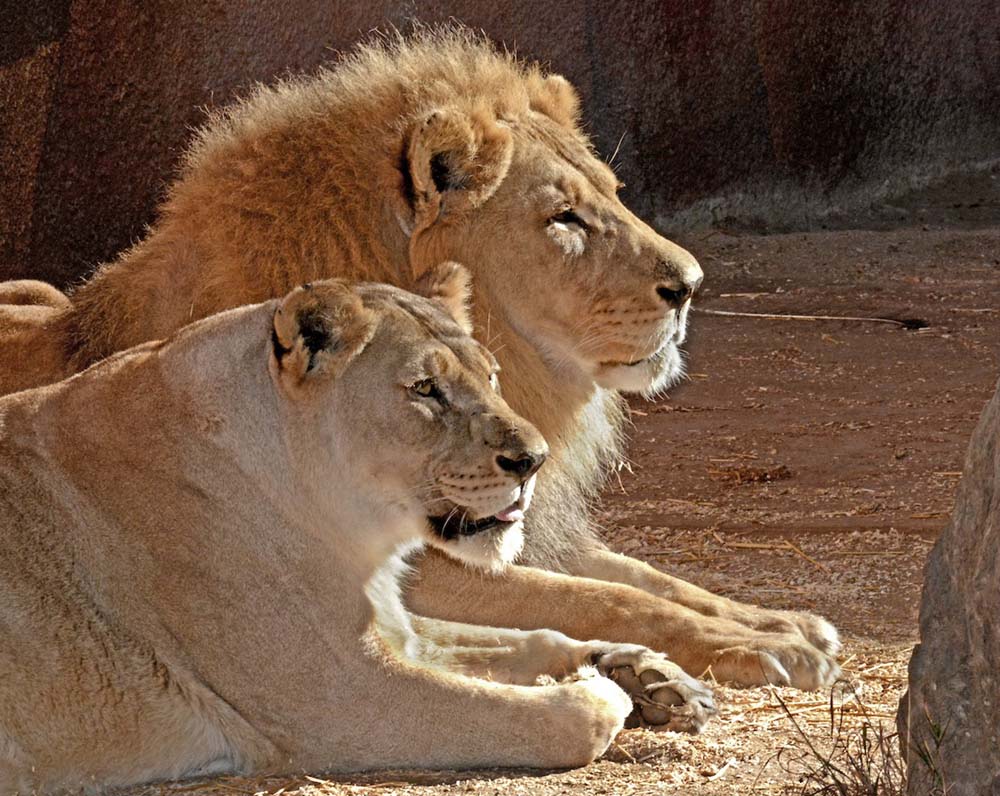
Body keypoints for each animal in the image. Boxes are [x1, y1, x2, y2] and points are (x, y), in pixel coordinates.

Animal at [0, 268, 712, 796]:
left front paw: (644, 671)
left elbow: (528, 637)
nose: (534, 461)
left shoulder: (390, 634)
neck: (357, 537)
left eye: (491, 376)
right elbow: (557, 720)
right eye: (425, 389)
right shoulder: (344, 698)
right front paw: (601, 691)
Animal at [3, 29, 840, 692]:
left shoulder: (530, 529)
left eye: (614, 193)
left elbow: (650, 578)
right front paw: (764, 647)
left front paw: (780, 622)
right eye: (564, 218)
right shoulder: (426, 567)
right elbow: (598, 597)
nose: (690, 285)